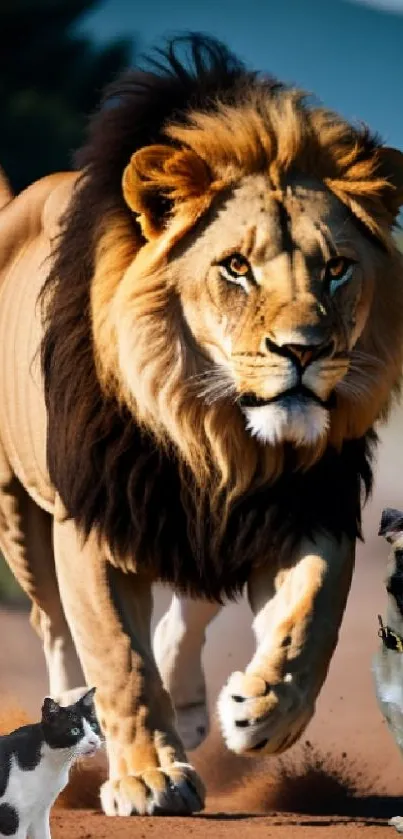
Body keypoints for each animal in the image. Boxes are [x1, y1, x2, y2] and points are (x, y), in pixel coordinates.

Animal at [0, 32, 403, 812]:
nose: (304, 351)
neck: (212, 427)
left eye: (337, 268)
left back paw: (191, 705)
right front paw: (148, 774)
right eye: (236, 267)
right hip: (19, 512)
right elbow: (118, 658)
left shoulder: (306, 502)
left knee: (191, 600)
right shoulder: (89, 517)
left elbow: (312, 618)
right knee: (52, 625)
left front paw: (265, 712)